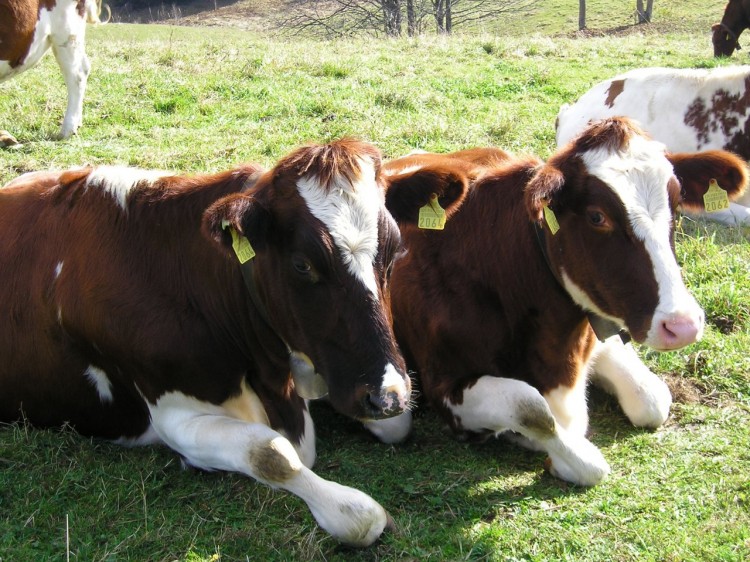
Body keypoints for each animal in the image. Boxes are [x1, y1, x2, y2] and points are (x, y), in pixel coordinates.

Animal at [0, 138, 476, 544]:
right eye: (302, 264)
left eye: (394, 252)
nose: (387, 396)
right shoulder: (172, 413)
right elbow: (275, 455)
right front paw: (353, 510)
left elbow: (395, 426)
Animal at [384, 119, 748, 486]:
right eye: (597, 217)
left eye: (676, 205)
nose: (682, 325)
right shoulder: (442, 381)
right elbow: (532, 408)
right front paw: (564, 455)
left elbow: (652, 398)